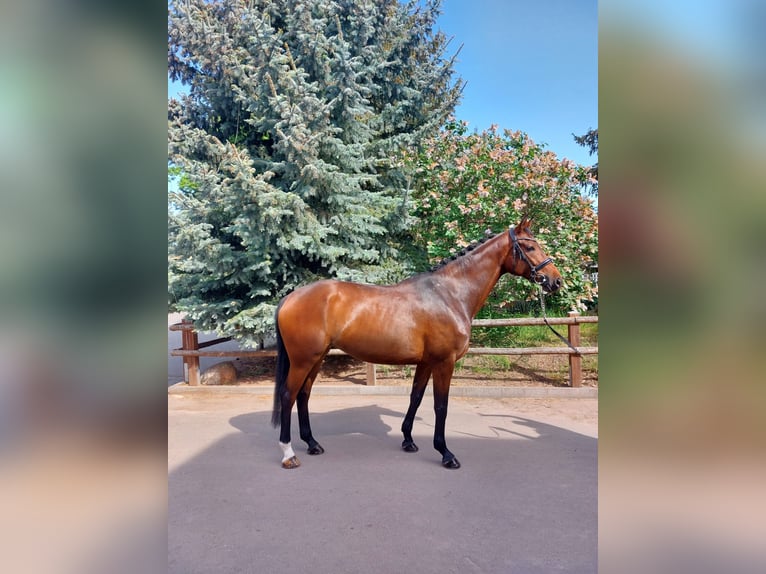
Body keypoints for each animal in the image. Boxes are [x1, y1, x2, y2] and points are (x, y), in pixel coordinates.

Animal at [272, 218, 564, 470]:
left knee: (303, 395)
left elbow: (416, 398)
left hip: (317, 358)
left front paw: (408, 440)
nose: (556, 280)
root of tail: (290, 298)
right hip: (304, 360)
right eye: (530, 247)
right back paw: (288, 454)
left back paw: (312, 443)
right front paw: (446, 453)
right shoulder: (444, 362)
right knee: (288, 396)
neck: (449, 294)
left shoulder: (426, 362)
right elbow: (440, 406)